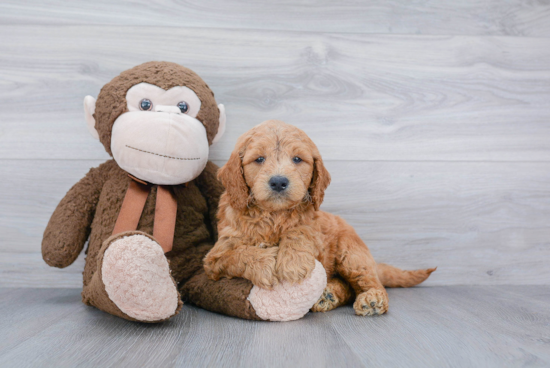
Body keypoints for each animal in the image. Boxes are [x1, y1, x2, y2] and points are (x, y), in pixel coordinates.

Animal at [203, 119, 436, 314]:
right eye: (259, 159)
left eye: (297, 159)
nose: (278, 181)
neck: (274, 215)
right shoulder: (215, 256)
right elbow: (237, 254)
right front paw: (265, 263)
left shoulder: (315, 226)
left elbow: (301, 231)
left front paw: (293, 262)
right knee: (347, 286)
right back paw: (328, 296)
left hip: (351, 254)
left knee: (368, 281)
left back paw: (372, 299)